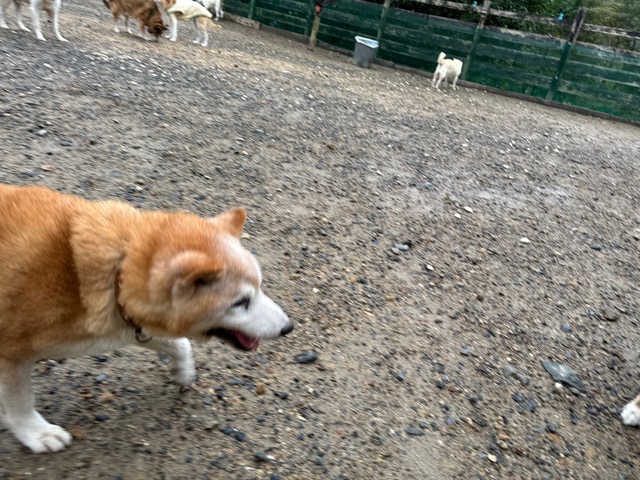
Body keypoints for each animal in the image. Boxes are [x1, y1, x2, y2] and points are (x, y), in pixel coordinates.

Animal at [0, 184, 293, 453]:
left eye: (260, 286)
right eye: (241, 302)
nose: (288, 327)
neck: (116, 271)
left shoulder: (131, 324)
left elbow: (180, 344)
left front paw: (183, 372)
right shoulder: (12, 352)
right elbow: (19, 400)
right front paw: (35, 433)